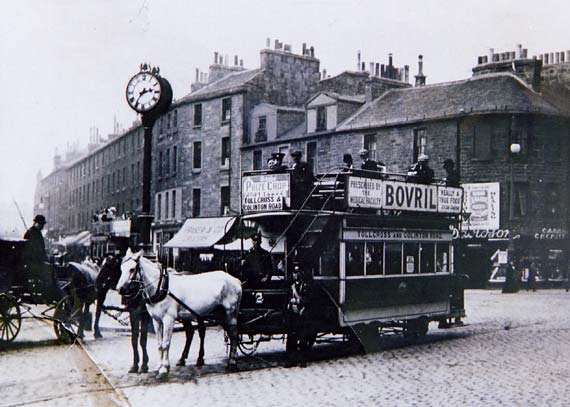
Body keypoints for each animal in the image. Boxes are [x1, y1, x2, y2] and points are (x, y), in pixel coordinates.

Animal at [116, 249, 241, 380]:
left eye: (132, 269)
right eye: (121, 268)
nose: (120, 289)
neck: (161, 288)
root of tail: (234, 279)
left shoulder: (168, 319)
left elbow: (166, 344)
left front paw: (164, 369)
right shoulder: (156, 320)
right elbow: (159, 344)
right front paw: (159, 366)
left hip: (231, 313)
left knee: (233, 335)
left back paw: (232, 363)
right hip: (219, 314)